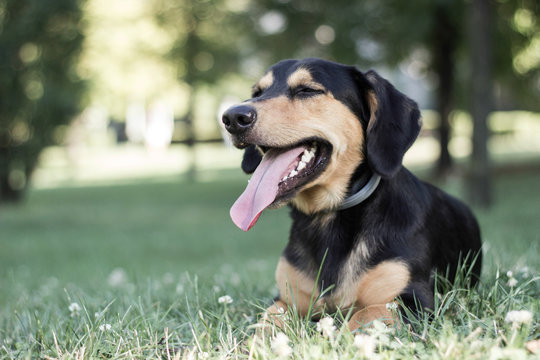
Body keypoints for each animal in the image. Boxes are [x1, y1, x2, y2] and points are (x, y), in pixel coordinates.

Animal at [221, 57, 484, 330]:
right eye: (257, 93)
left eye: (307, 90)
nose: (232, 117)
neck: (328, 217)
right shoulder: (285, 300)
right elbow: (266, 321)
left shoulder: (414, 301)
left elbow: (363, 315)